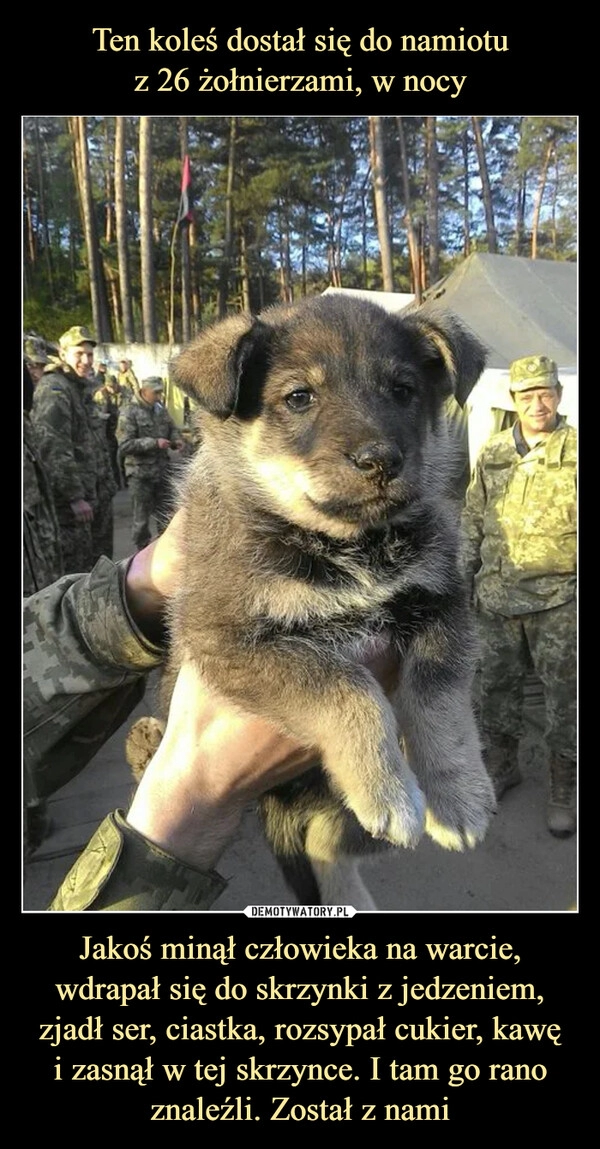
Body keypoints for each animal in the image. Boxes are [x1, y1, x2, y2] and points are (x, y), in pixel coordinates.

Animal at [132, 296, 494, 905]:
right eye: (299, 397)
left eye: (403, 390)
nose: (380, 460)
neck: (351, 546)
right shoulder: (230, 638)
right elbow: (346, 689)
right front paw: (388, 789)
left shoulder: (440, 604)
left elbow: (437, 699)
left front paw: (459, 795)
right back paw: (146, 743)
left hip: (330, 811)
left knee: (325, 842)